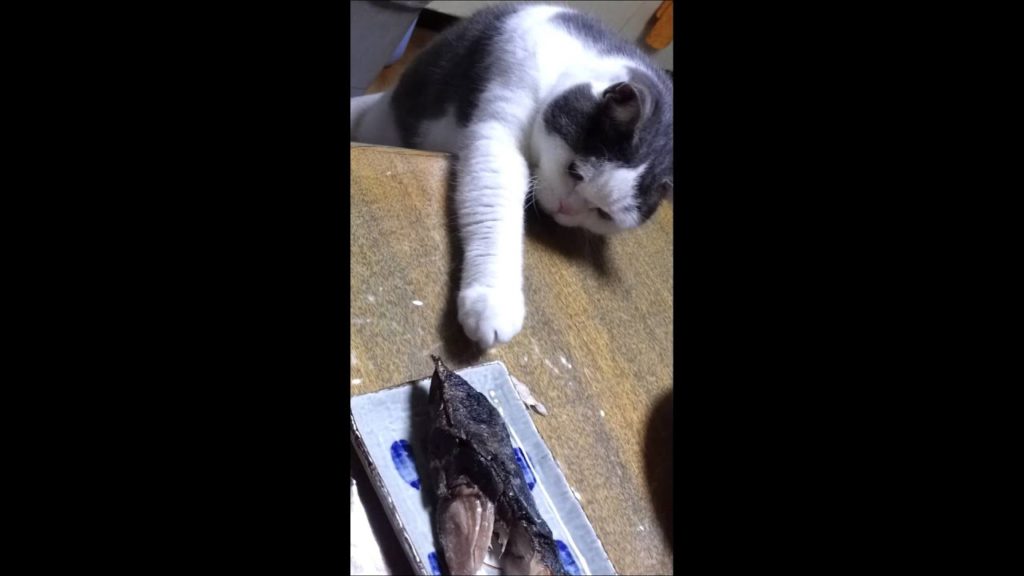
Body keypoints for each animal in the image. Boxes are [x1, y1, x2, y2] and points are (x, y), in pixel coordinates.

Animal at [350, 3, 673, 349]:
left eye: (603, 213)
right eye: (574, 171)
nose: (564, 209)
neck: (568, 62)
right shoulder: (503, 120)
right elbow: (497, 206)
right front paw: (492, 301)